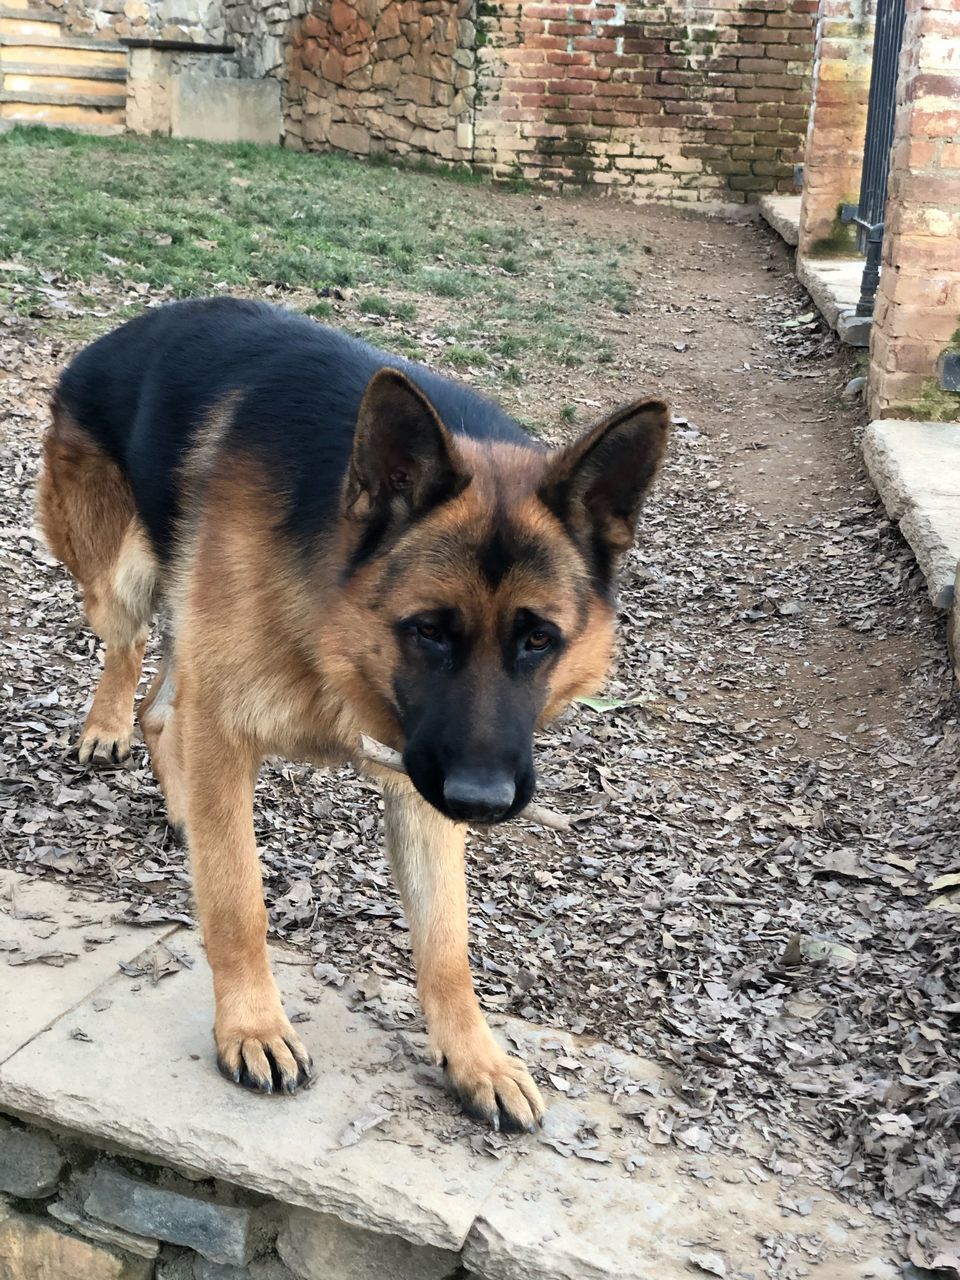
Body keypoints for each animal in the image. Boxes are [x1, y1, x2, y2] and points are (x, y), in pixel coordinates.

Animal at [35, 296, 670, 1131]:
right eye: (429, 630)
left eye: (538, 639)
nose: (484, 803)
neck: (333, 605)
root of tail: (119, 334)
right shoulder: (233, 726)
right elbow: (237, 899)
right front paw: (253, 1025)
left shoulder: (423, 782)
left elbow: (446, 943)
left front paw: (475, 1057)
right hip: (125, 580)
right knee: (131, 650)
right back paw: (106, 729)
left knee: (164, 707)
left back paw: (178, 803)